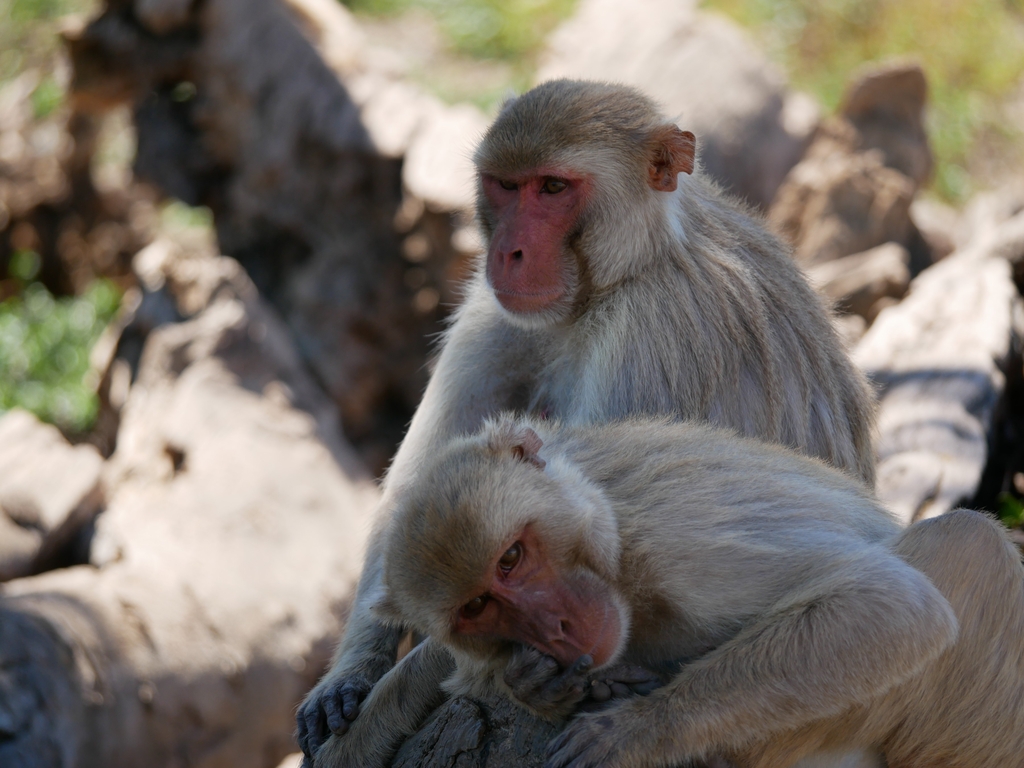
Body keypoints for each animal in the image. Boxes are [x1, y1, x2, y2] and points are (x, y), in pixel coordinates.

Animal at [296, 78, 880, 765]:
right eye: (505, 185)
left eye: (553, 188)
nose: (508, 251)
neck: (625, 271)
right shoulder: (495, 307)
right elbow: (425, 504)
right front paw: (349, 678)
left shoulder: (650, 336)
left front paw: (367, 729)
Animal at [331, 415, 1019, 768]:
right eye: (477, 606)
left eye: (511, 558)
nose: (553, 627)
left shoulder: (682, 541)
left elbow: (891, 606)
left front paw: (640, 728)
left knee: (969, 544)